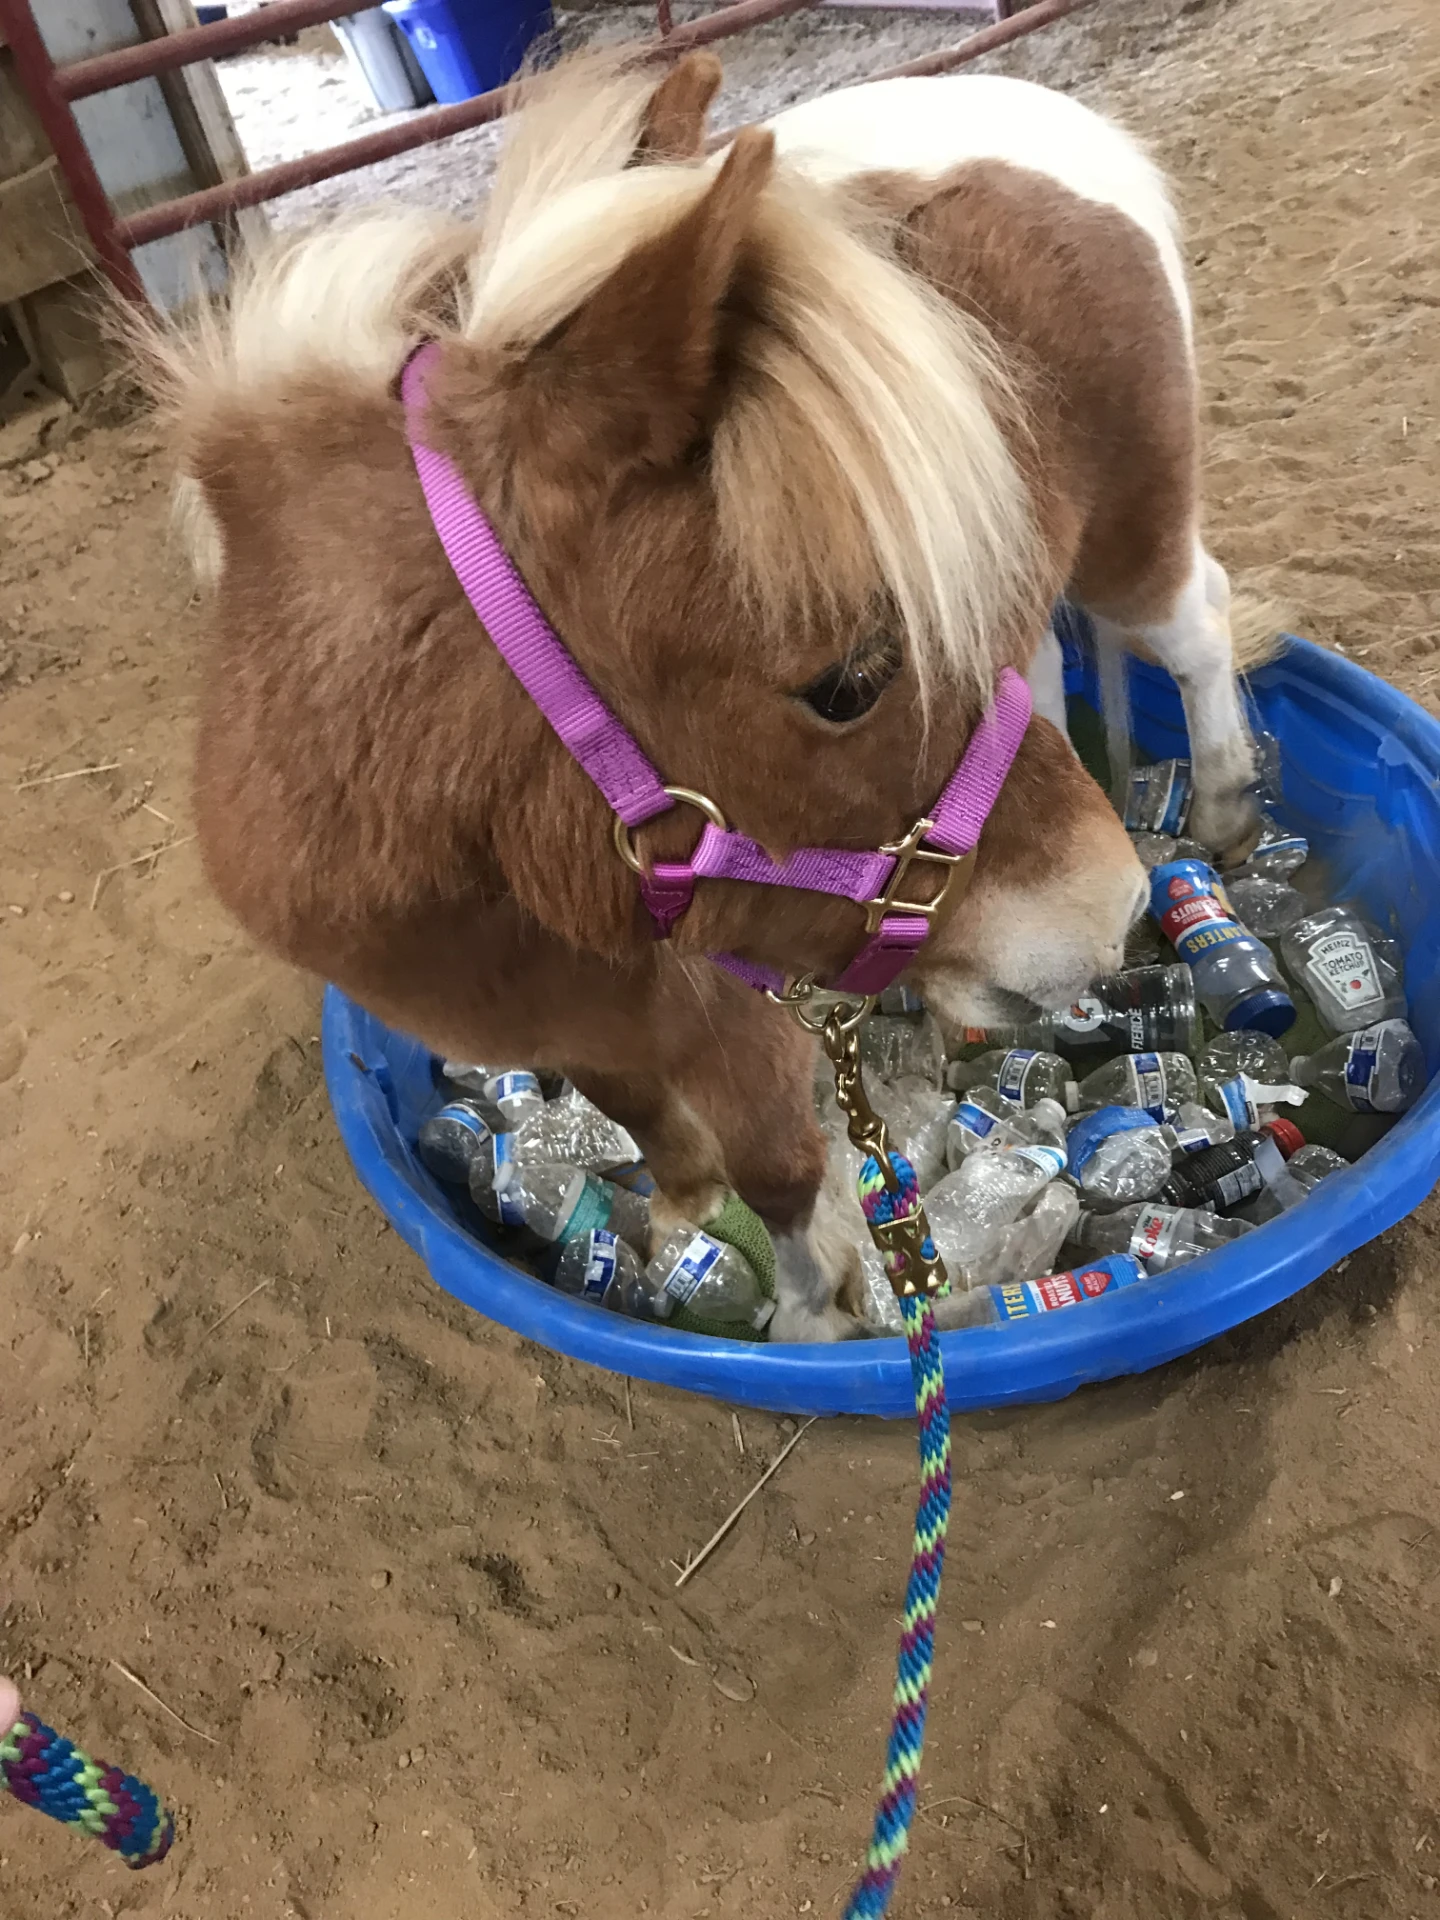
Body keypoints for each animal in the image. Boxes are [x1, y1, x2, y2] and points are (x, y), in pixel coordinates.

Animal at [150, 49, 1265, 1340]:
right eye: (845, 682)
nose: (1112, 907)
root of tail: (1038, 114)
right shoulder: (585, 1028)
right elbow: (641, 1117)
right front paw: (682, 1217)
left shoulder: (740, 1022)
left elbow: (780, 1167)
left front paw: (813, 1313)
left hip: (1136, 535)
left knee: (1197, 626)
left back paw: (1226, 809)